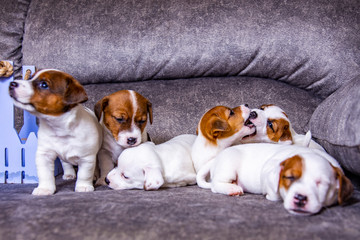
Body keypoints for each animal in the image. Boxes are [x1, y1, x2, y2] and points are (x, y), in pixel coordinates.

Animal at [197, 142, 352, 216]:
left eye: (321, 183)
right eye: (289, 177)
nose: (300, 198)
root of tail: (216, 158)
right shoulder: (269, 169)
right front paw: (273, 195)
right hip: (228, 166)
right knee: (215, 185)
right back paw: (231, 188)